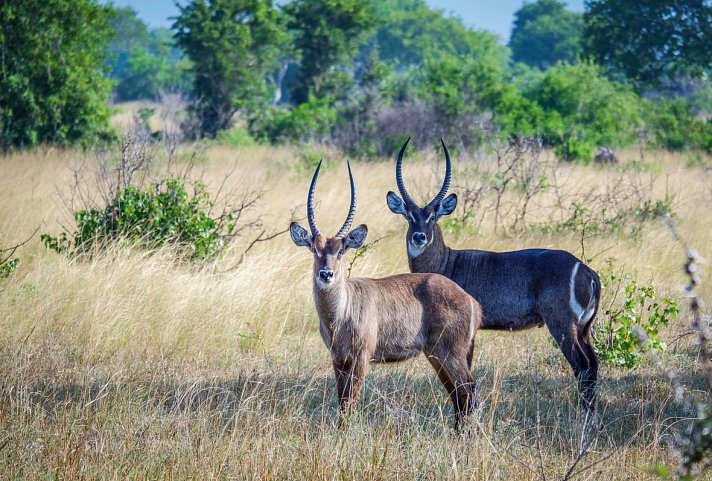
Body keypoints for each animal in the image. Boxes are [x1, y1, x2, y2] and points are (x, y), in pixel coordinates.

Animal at [290, 159, 484, 430]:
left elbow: (350, 403)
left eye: (341, 250)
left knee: (470, 391)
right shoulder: (338, 360)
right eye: (314, 249)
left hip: (451, 354)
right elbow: (341, 403)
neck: (339, 314)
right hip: (437, 355)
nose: (326, 274)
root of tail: (470, 299)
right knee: (458, 396)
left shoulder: (361, 358)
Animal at [390, 137, 600, 410]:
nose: (419, 237)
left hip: (562, 324)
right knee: (593, 364)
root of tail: (587, 271)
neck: (446, 262)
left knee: (582, 366)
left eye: (433, 217)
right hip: (583, 328)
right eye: (409, 217)